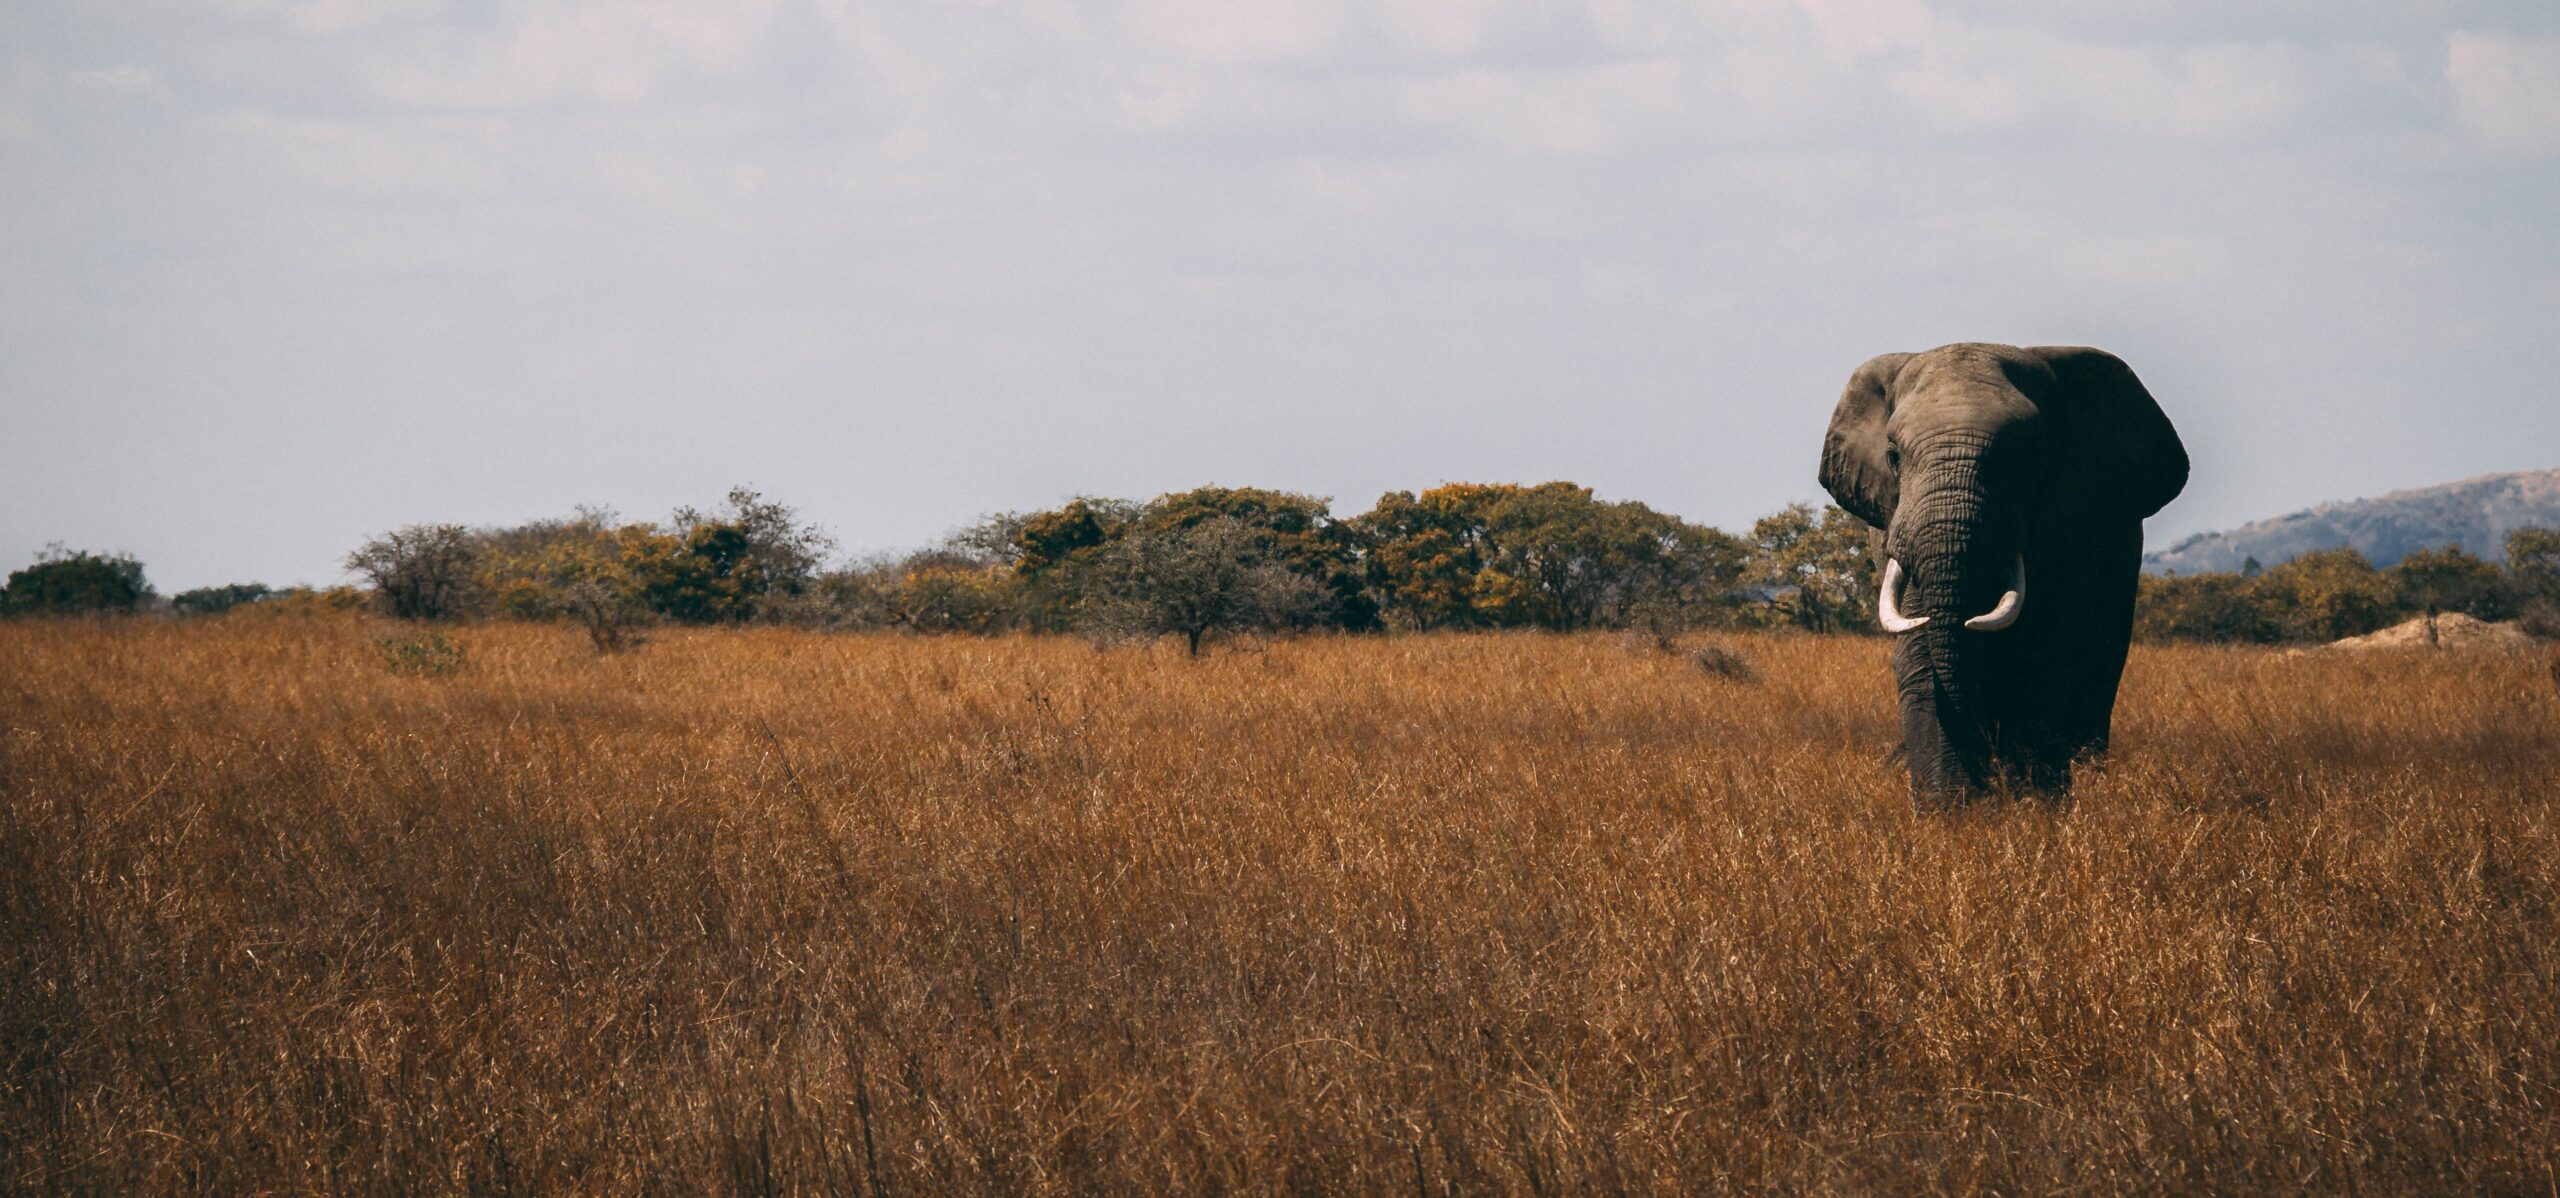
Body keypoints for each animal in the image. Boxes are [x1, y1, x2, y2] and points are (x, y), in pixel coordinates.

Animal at [1817, 343, 2188, 806]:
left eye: (2031, 456)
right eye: (1893, 456)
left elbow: (2042, 654)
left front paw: (2033, 807)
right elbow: (1920, 649)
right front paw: (1952, 813)